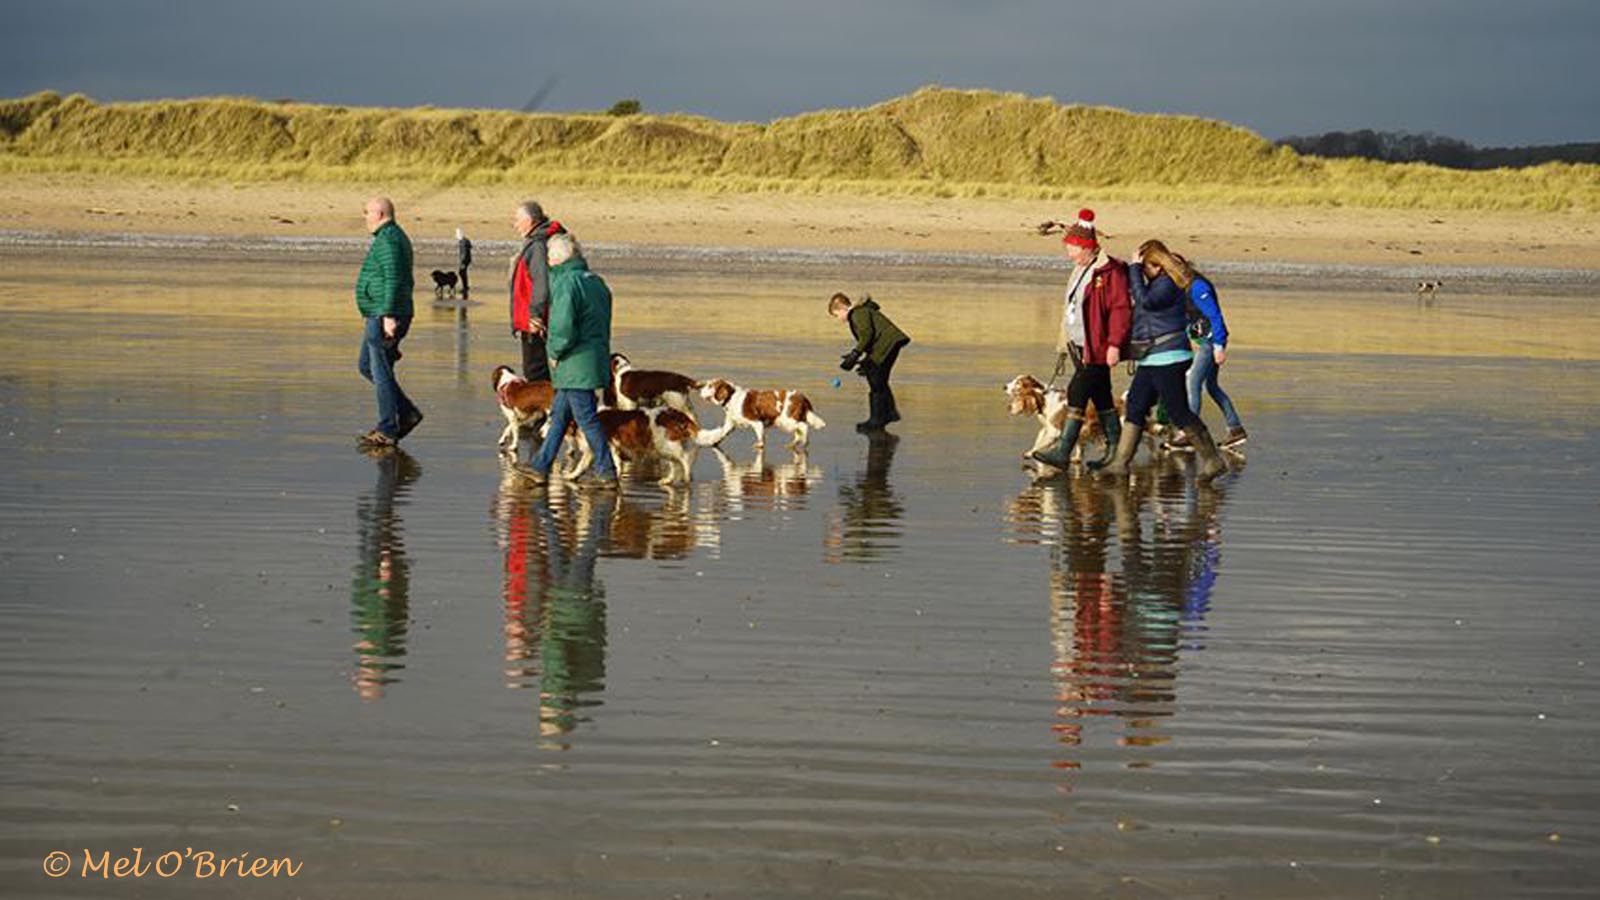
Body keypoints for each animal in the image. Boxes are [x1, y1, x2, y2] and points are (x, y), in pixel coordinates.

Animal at [697, 378, 826, 451]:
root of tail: (802, 397)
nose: (699, 390)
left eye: (710, 385)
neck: (731, 397)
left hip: (787, 420)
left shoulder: (757, 422)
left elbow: (760, 437)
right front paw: (714, 442)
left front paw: (759, 446)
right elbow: (722, 434)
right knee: (798, 432)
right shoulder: (731, 424)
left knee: (803, 427)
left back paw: (804, 441)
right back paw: (792, 444)